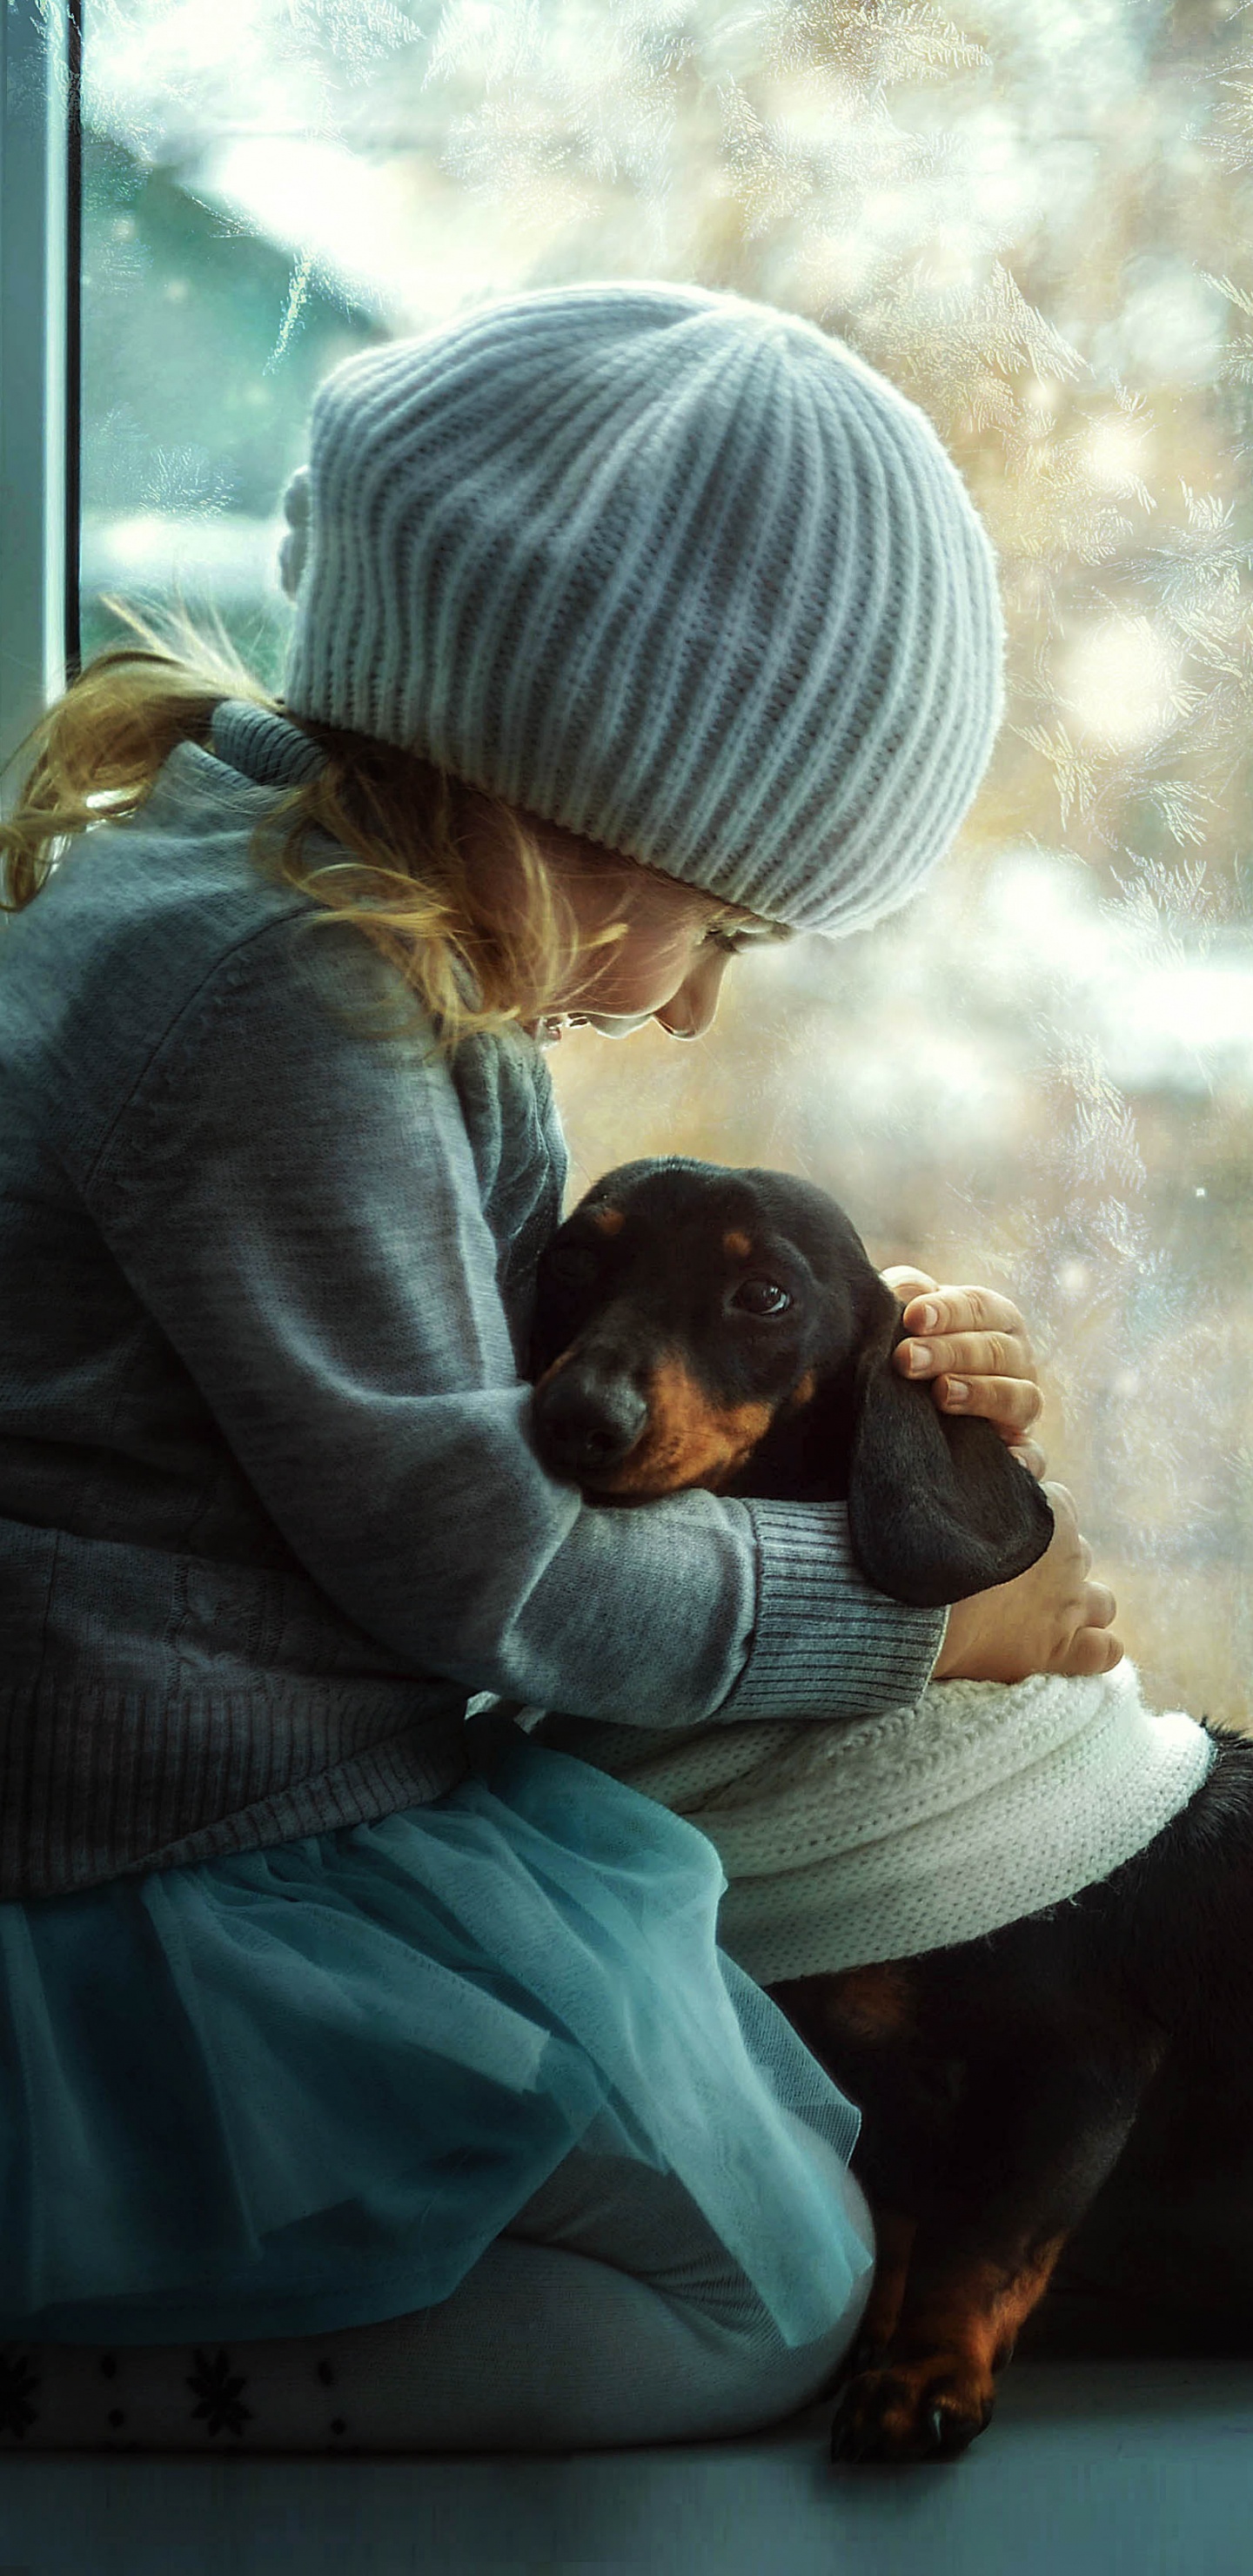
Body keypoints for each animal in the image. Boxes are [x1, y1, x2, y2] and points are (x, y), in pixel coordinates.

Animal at [526, 1159, 1253, 2462]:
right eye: (572, 1263)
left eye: (764, 1293)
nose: (575, 1421)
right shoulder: (880, 2094)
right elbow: (908, 2224)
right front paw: (882, 2349)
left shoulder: (1076, 2058)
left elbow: (983, 2236)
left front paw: (922, 2377)